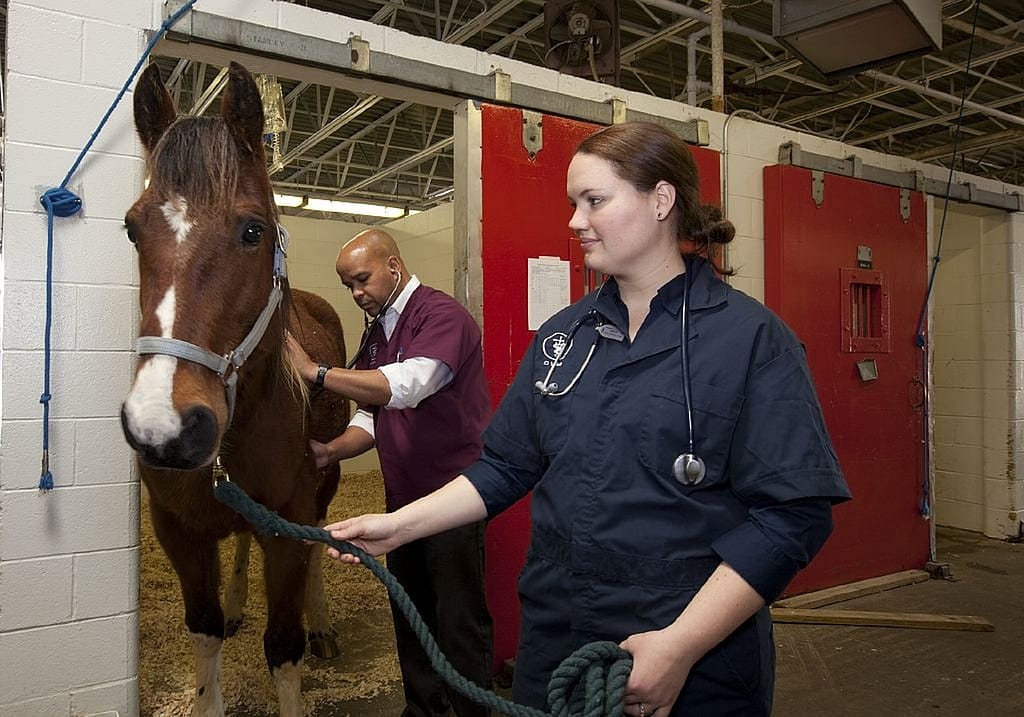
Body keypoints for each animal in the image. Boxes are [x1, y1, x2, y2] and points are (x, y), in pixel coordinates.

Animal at [121, 61, 349, 716]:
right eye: (131, 229)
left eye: (253, 230)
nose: (164, 425)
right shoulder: (178, 531)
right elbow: (203, 633)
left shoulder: (287, 526)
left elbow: (284, 648)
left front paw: (305, 632)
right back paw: (240, 604)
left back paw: (324, 624)